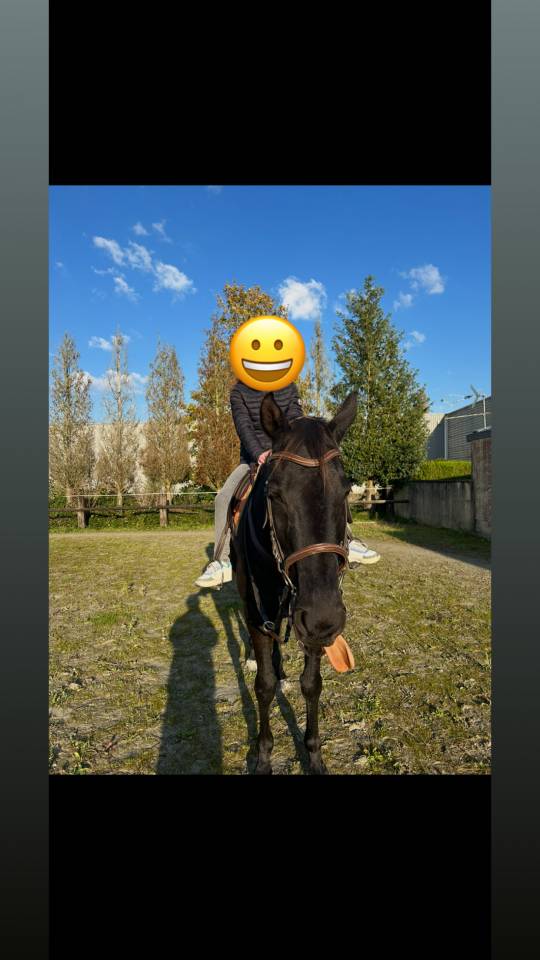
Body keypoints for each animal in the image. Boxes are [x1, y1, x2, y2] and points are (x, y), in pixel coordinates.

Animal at [230, 390, 358, 775]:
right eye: (274, 494)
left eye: (346, 491)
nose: (323, 618)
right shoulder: (261, 611)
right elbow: (263, 686)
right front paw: (263, 757)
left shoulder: (312, 617)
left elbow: (312, 684)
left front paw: (313, 755)